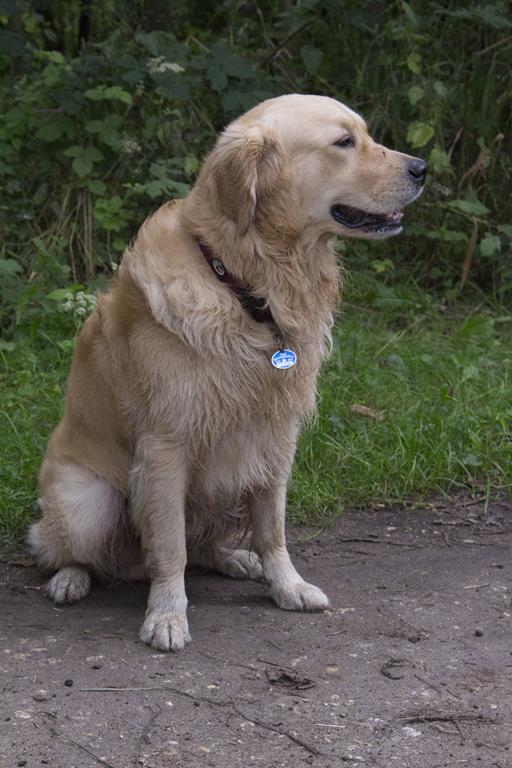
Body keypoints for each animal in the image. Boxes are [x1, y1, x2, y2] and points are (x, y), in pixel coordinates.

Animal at [29, 93, 428, 652]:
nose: (423, 169)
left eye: (366, 135)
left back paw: (236, 560)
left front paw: (287, 585)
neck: (248, 286)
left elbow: (272, 529)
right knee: (69, 549)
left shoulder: (275, 438)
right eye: (344, 142)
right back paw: (70, 579)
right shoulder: (166, 445)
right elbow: (169, 547)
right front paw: (167, 615)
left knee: (206, 546)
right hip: (89, 499)